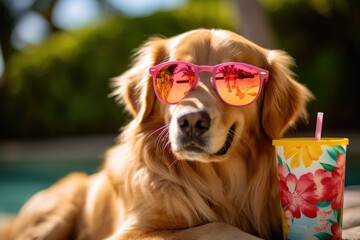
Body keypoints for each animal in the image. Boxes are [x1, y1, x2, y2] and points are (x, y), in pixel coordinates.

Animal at [0, 29, 310, 239]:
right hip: (59, 209)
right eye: (175, 75)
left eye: (236, 77)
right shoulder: (131, 233)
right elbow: (213, 226)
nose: (192, 121)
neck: (215, 181)